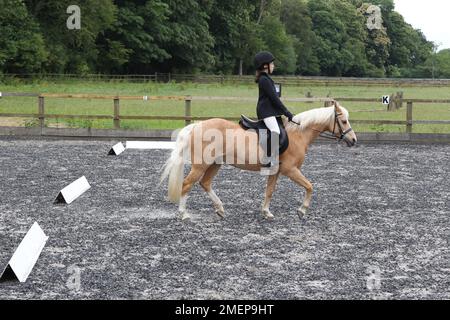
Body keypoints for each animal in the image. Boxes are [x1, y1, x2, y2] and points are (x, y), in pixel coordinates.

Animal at [160, 102, 356, 220]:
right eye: (344, 121)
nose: (353, 140)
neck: (298, 135)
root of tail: (197, 125)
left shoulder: (276, 171)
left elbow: (269, 191)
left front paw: (266, 212)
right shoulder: (291, 170)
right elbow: (309, 186)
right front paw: (302, 210)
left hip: (215, 164)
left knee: (205, 183)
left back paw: (220, 209)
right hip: (201, 165)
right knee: (187, 184)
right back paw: (184, 214)